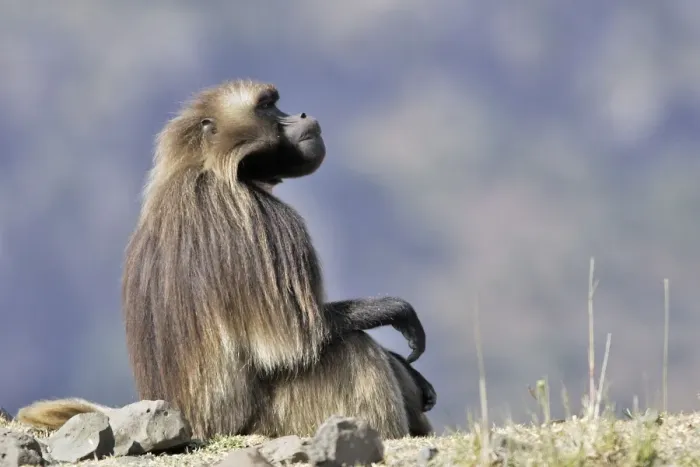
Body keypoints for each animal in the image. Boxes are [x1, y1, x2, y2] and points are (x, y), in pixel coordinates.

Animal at [16, 79, 436, 440]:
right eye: (267, 106)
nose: (302, 115)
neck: (205, 166)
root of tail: (192, 424)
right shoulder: (265, 222)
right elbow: (297, 337)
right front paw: (396, 312)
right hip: (272, 422)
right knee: (349, 347)